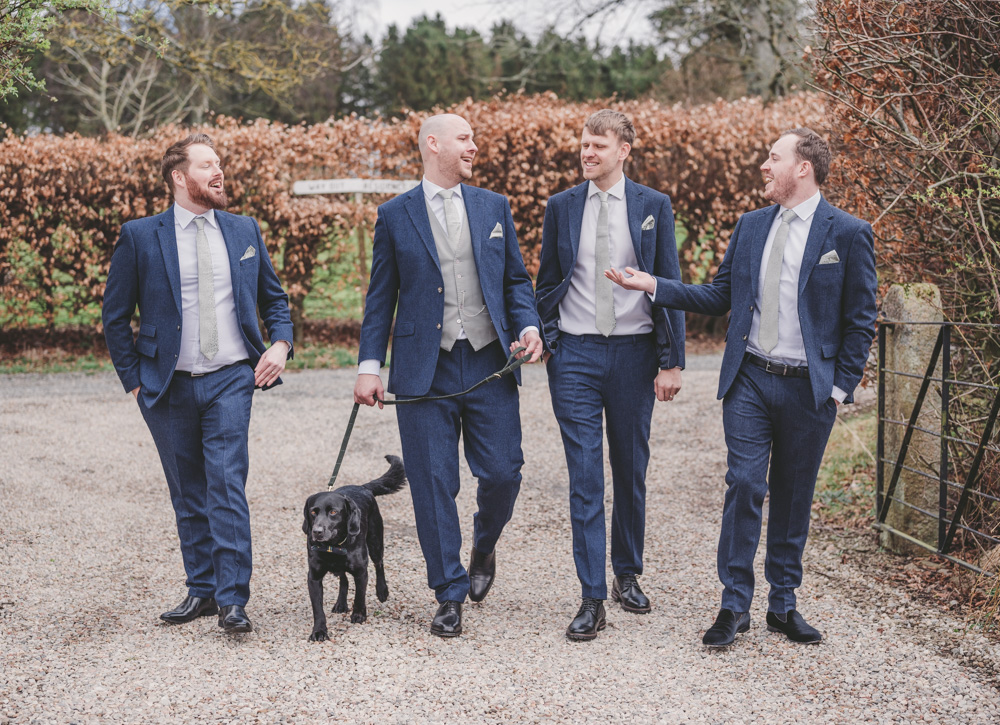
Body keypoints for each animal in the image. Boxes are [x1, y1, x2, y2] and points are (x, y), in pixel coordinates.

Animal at [300, 456, 406, 640]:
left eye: (333, 512)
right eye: (313, 512)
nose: (317, 532)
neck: (333, 546)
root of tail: (363, 487)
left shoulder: (361, 571)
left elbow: (359, 595)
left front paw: (359, 614)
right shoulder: (314, 577)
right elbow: (318, 609)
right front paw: (319, 631)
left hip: (375, 542)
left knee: (379, 564)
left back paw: (382, 591)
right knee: (344, 579)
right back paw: (341, 603)